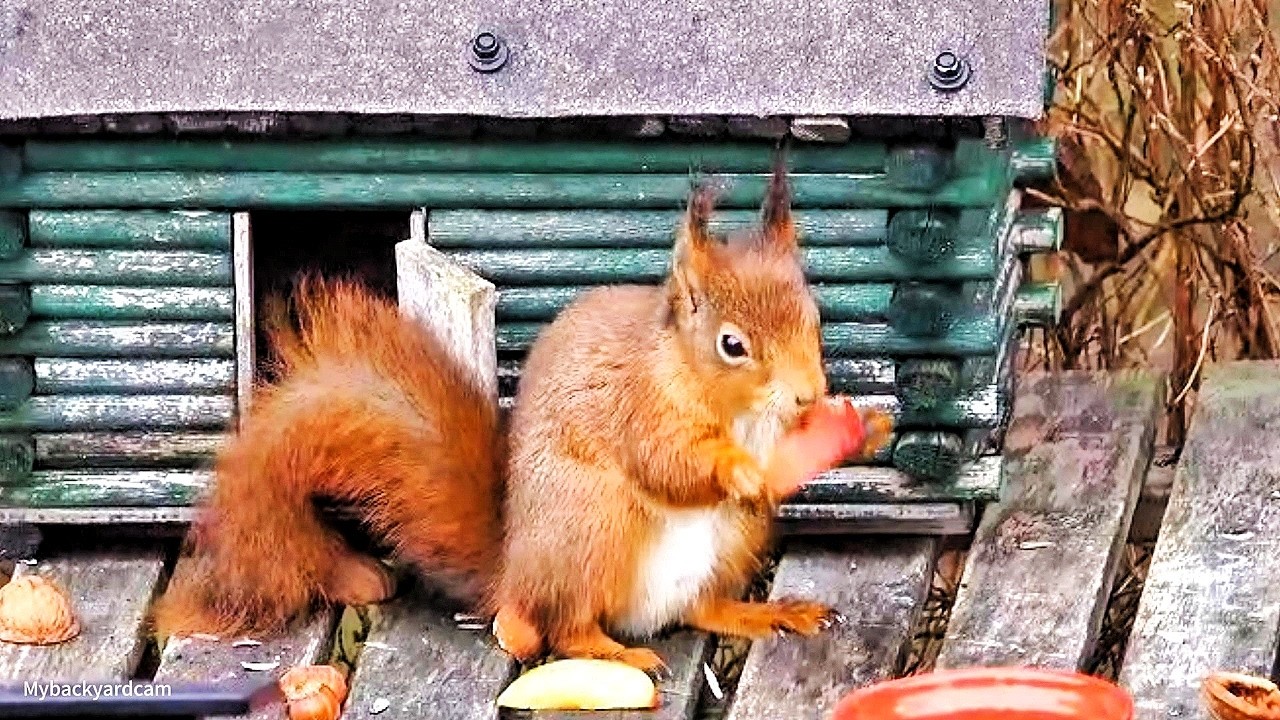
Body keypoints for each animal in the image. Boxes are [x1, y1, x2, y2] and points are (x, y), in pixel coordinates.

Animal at [152, 156, 890, 671]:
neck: (725, 404)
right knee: (561, 623)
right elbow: (667, 462)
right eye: (732, 345)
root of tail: (515, 568)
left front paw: (867, 429)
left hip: (732, 541)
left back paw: (765, 614)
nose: (809, 394)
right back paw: (610, 650)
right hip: (591, 525)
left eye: (814, 318)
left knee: (703, 607)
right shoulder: (632, 406)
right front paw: (734, 467)